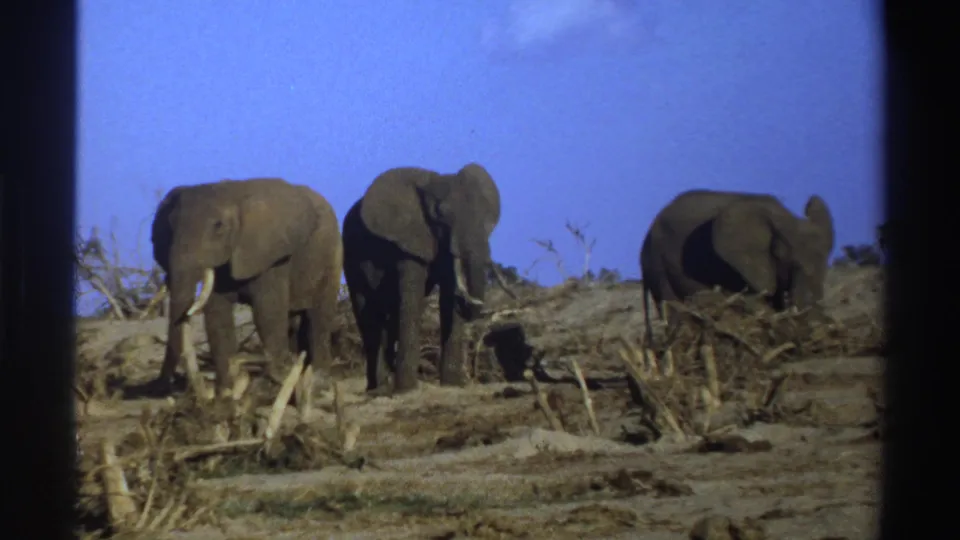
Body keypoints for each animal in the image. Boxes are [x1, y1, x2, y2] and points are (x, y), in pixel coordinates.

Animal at [149, 177, 342, 402]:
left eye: (218, 226)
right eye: (170, 226)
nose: (160, 388)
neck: (232, 194)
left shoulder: (271, 256)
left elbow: (267, 312)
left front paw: (275, 383)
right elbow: (217, 317)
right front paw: (226, 392)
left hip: (332, 255)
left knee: (319, 317)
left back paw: (318, 382)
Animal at [342, 163, 514, 395]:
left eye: (487, 218)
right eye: (441, 214)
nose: (470, 301)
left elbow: (447, 295)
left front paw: (453, 385)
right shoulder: (408, 241)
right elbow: (412, 296)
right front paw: (406, 390)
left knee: (390, 316)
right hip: (350, 261)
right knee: (369, 316)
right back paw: (377, 388)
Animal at [639, 189, 835, 343]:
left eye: (826, 263)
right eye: (782, 256)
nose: (819, 330)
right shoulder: (737, 268)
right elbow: (755, 301)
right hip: (657, 265)